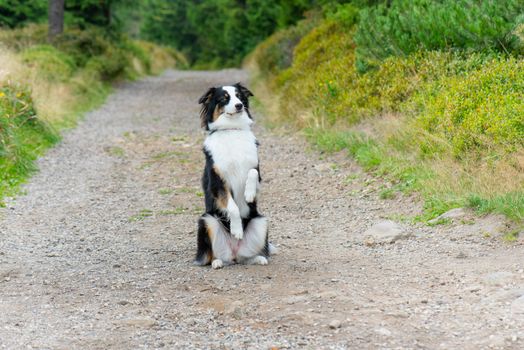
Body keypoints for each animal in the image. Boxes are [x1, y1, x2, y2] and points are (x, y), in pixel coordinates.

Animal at [193, 82, 274, 268]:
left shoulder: (256, 170)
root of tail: (233, 253)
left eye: (239, 96)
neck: (232, 129)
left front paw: (249, 194)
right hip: (206, 219)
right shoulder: (217, 182)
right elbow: (233, 207)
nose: (239, 106)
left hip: (261, 221)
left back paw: (259, 258)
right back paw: (217, 262)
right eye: (224, 98)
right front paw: (237, 230)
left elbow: (252, 172)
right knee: (211, 255)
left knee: (248, 256)